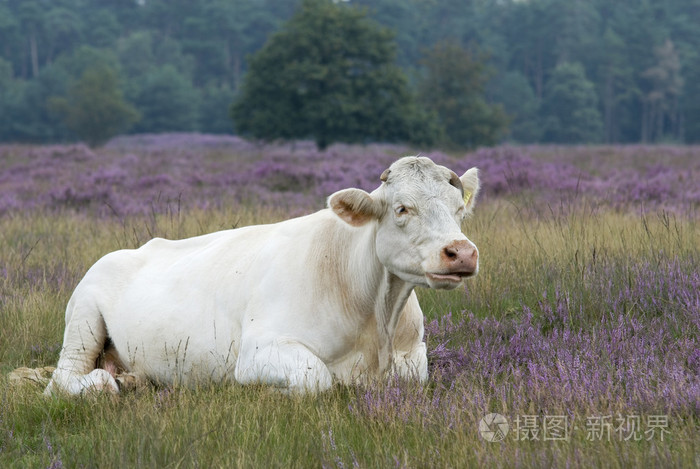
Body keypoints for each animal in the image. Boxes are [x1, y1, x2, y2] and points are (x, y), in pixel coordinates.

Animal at [45, 157, 482, 394]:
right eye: (402, 208)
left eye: (459, 209)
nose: (461, 252)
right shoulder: (258, 350)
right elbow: (317, 379)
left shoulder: (413, 354)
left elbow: (413, 377)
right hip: (83, 322)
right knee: (62, 382)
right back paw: (107, 385)